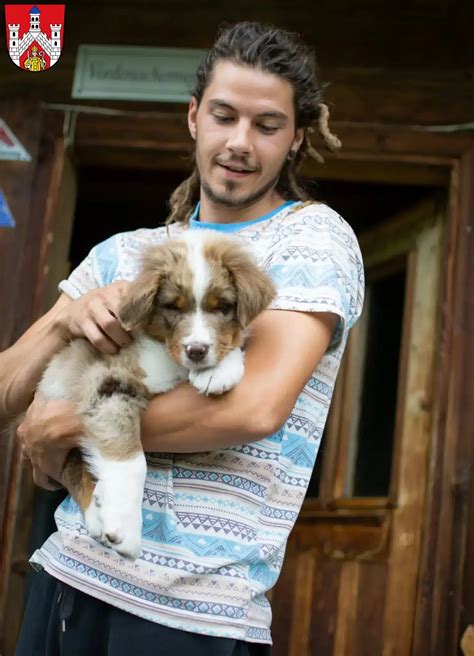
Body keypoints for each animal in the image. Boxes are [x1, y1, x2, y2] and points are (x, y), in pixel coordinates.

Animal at [38, 231, 278, 560]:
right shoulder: (108, 378)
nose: (197, 350)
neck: (167, 356)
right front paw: (125, 528)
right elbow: (131, 460)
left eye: (222, 307)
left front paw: (220, 370)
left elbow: (234, 341)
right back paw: (100, 515)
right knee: (73, 468)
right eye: (173, 307)